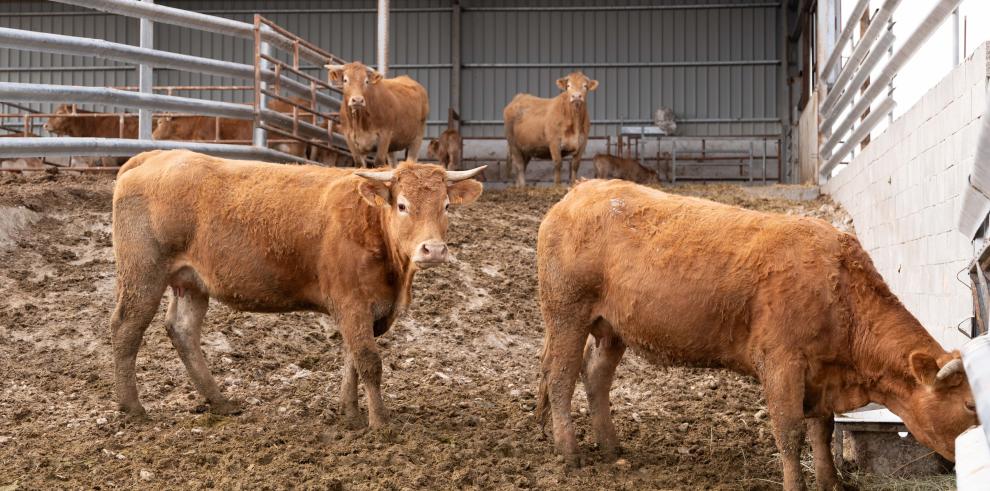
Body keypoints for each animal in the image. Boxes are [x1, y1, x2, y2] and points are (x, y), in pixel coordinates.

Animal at [540, 179, 980, 490]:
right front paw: (795, 485)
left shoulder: (821, 375)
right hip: (566, 315)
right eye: (970, 405)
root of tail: (581, 190)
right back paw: (570, 453)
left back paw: (611, 447)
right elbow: (789, 432)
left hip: (612, 330)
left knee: (594, 377)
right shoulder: (782, 362)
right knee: (561, 379)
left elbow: (822, 431)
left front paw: (831, 482)